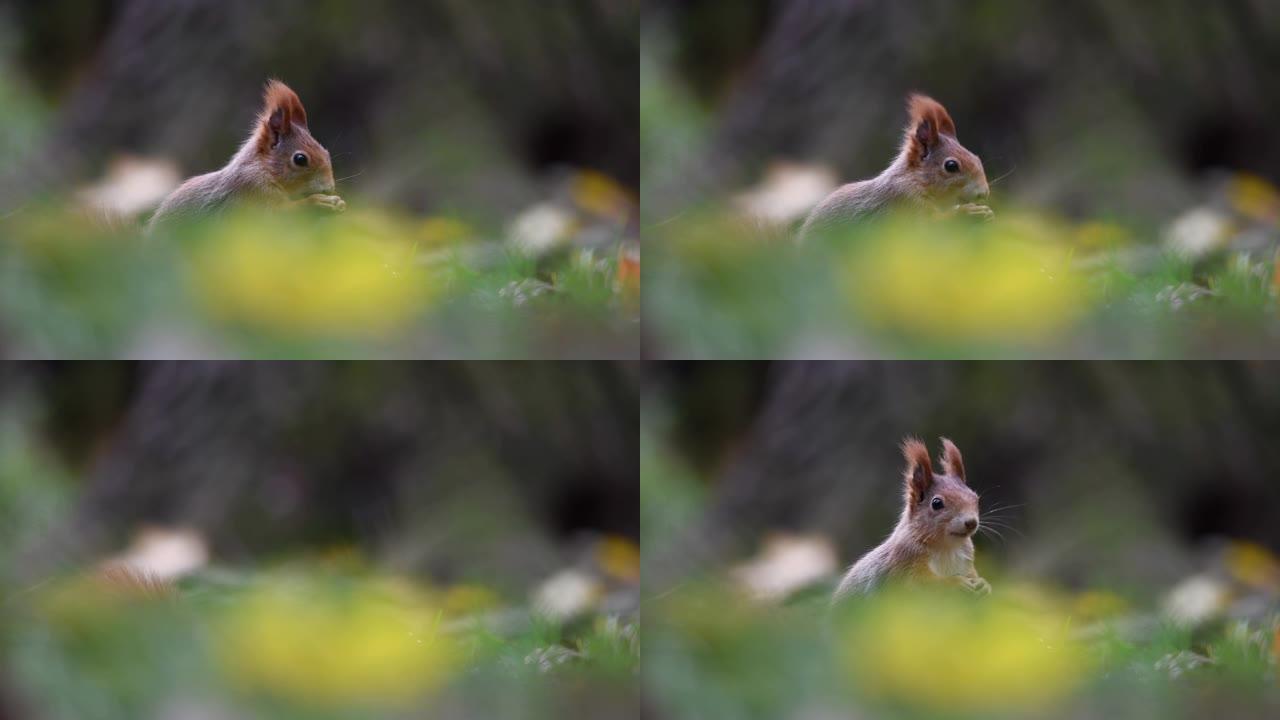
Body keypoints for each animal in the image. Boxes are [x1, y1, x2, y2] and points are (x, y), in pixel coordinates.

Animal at [147, 79, 345, 229]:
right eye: (300, 159)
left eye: (326, 152)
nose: (329, 188)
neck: (264, 169)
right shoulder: (252, 192)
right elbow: (280, 214)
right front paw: (319, 202)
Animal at [798, 92, 988, 240]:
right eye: (951, 165)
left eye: (977, 158)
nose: (984, 194)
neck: (916, 180)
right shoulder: (906, 202)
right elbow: (931, 225)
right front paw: (968, 213)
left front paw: (987, 214)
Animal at [829, 438, 988, 599]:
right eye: (936, 503)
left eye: (975, 498)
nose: (971, 522)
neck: (946, 548)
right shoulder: (904, 560)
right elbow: (922, 584)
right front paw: (955, 583)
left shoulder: (966, 560)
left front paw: (983, 585)